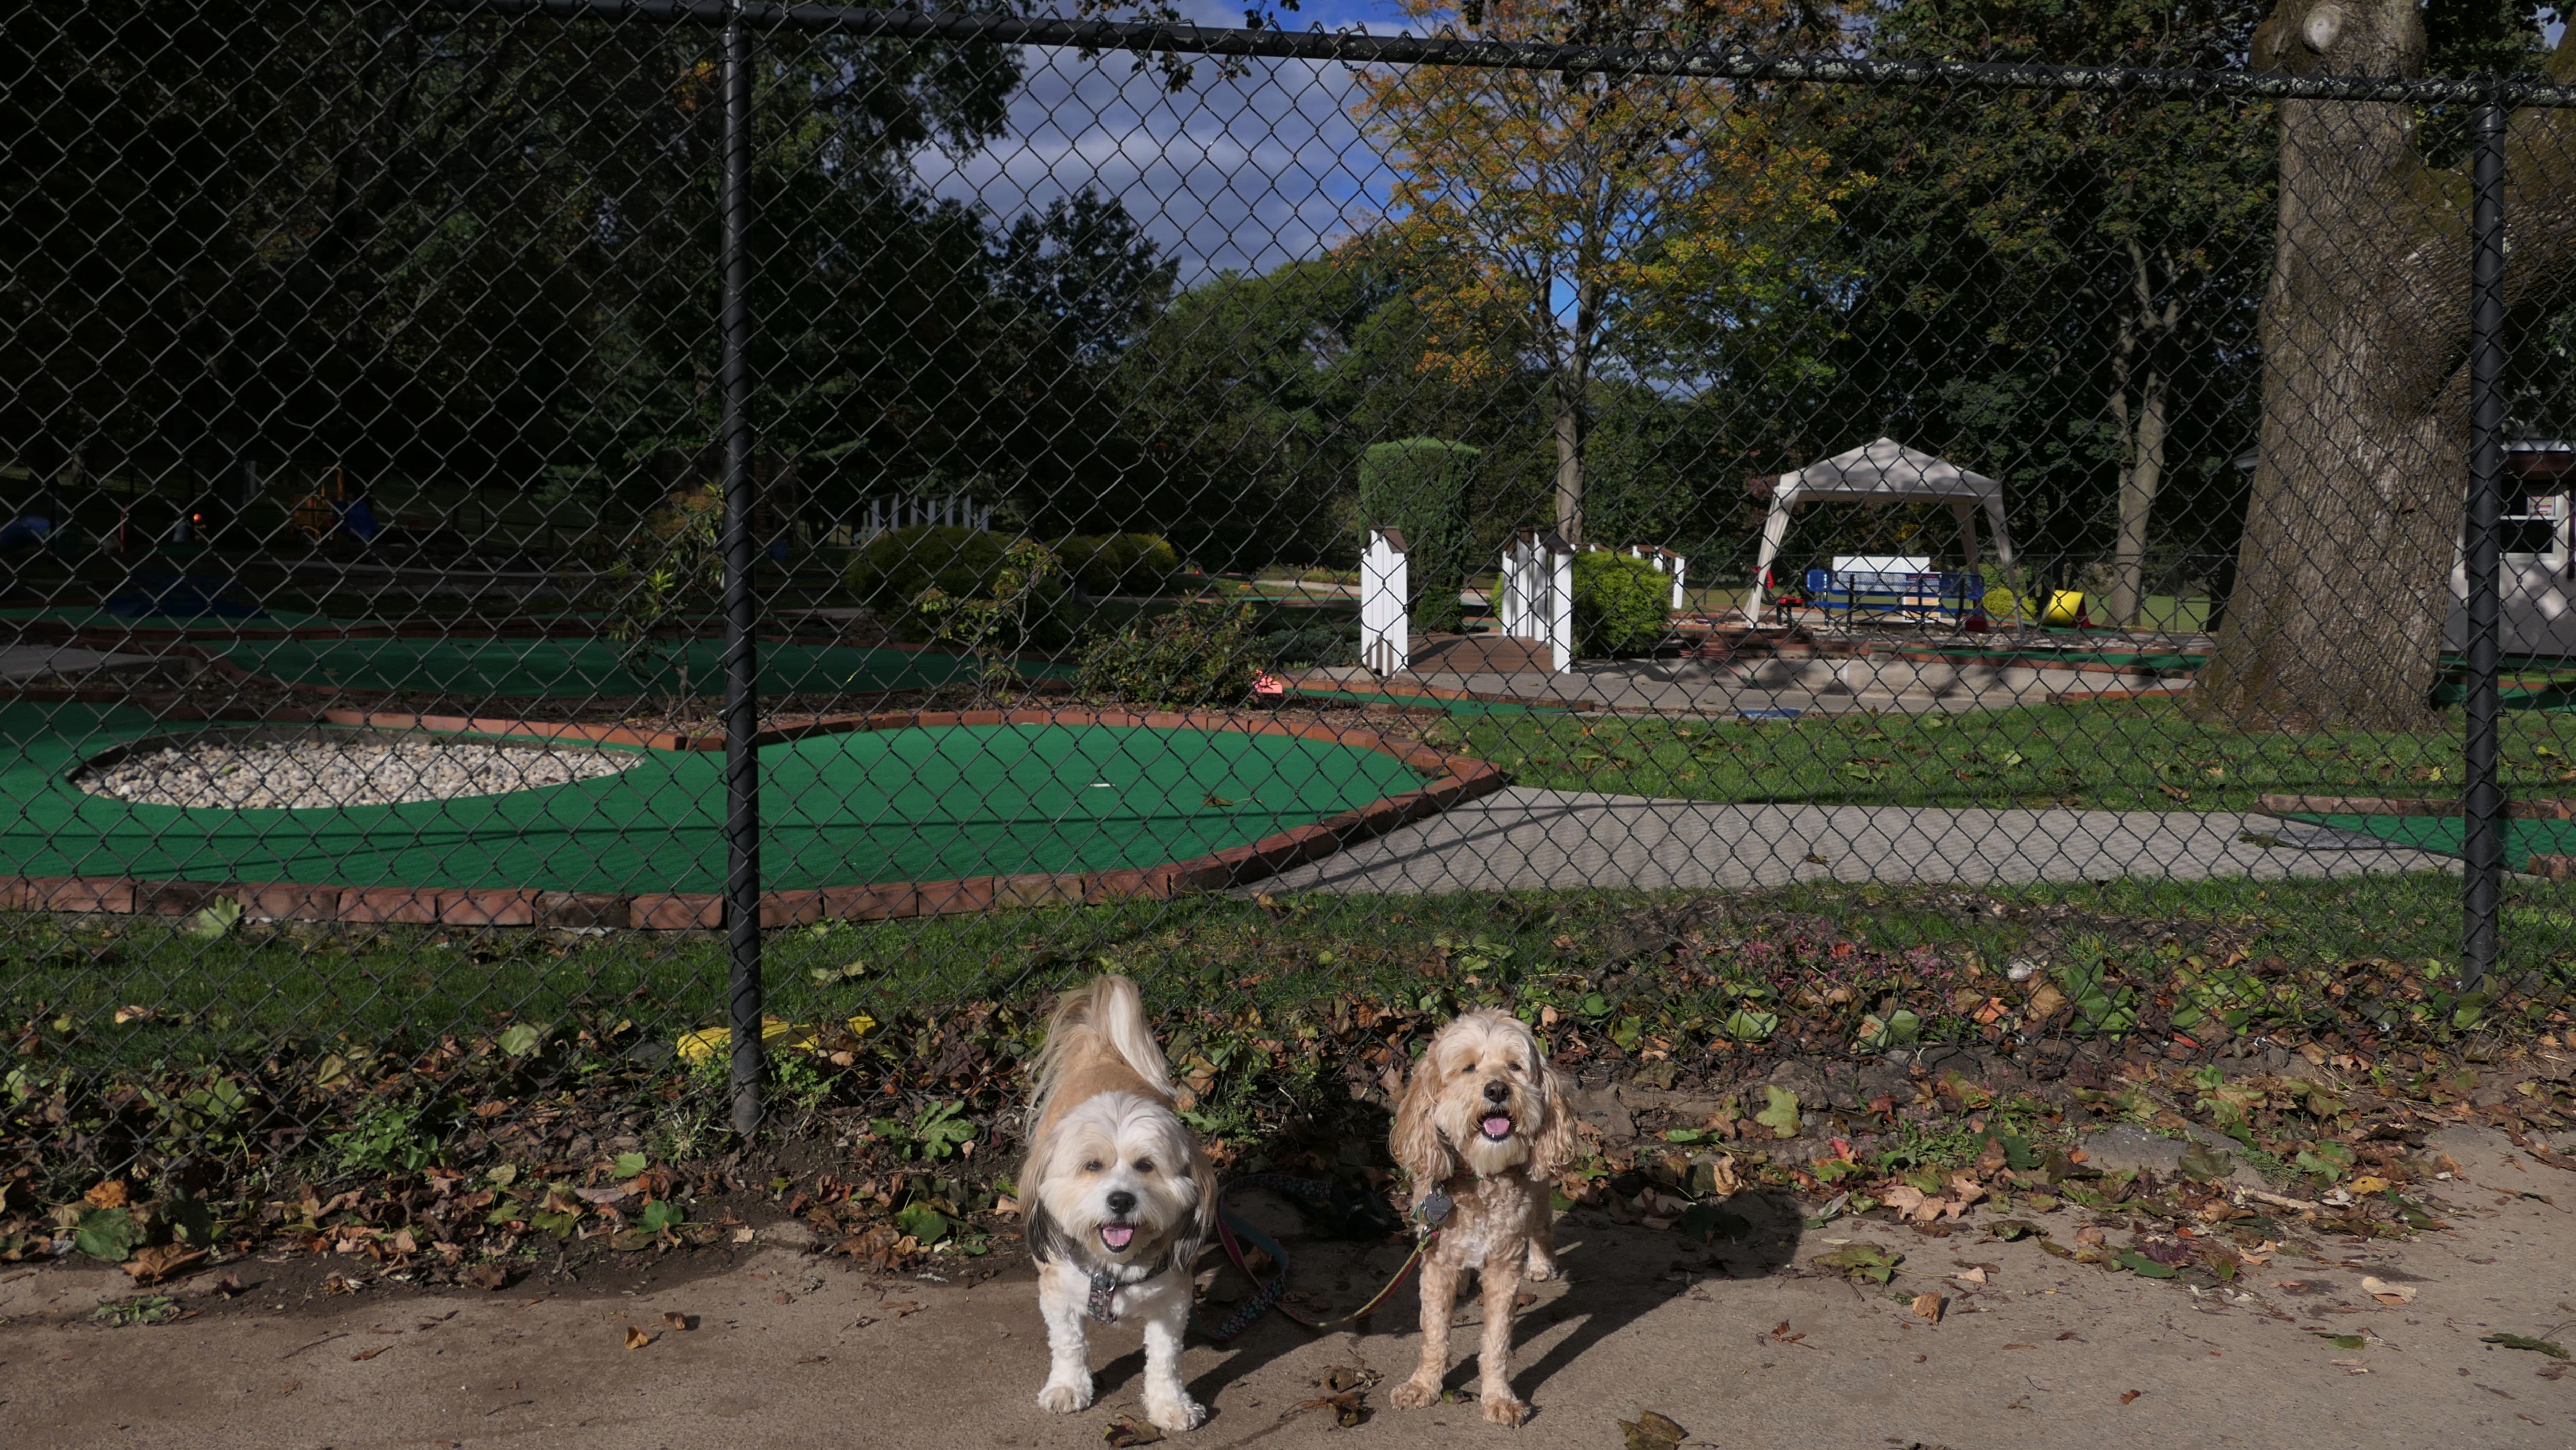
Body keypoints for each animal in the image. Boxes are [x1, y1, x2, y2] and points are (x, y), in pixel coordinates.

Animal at [1022, 975, 1216, 1433]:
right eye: (1092, 1165)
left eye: (1146, 1165)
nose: (1121, 1199)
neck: (1114, 1270)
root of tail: (1103, 1046)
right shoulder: (1057, 1291)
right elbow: (1069, 1343)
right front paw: (1068, 1386)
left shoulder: (1173, 1299)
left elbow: (1165, 1358)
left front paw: (1170, 1405)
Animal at [1387, 1008, 1573, 1426]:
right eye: (1469, 1067)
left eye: (1515, 1066)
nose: (1497, 1090)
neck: (1479, 1176)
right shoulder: (1436, 1259)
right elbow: (1434, 1334)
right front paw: (1423, 1385)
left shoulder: (1504, 1265)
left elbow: (1496, 1341)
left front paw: (1499, 1397)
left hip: (1539, 1189)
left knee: (1543, 1224)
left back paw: (1542, 1262)